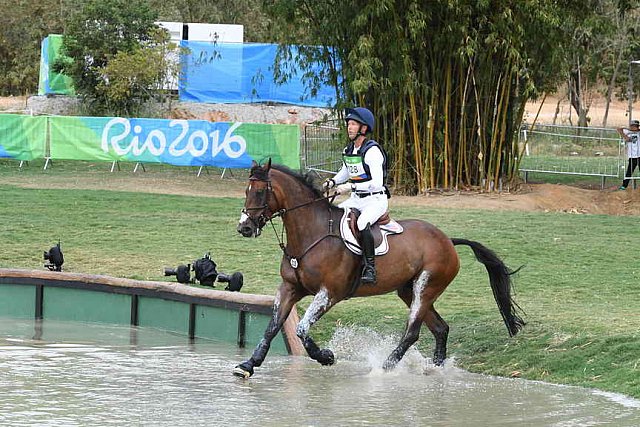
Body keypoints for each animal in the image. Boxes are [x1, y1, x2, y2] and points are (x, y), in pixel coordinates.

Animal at [232, 160, 524, 378]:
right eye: (246, 191)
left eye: (260, 192)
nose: (244, 227)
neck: (311, 235)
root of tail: (447, 240)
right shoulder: (290, 288)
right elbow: (272, 326)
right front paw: (248, 365)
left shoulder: (329, 294)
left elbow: (301, 328)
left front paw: (326, 356)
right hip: (408, 290)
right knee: (440, 328)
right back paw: (435, 369)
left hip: (426, 287)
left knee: (412, 331)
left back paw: (385, 367)